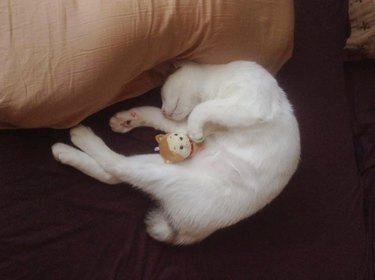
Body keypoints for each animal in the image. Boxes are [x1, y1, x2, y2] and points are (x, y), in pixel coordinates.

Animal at [51, 60, 302, 244]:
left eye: (162, 95)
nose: (164, 108)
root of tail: (191, 233)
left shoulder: (247, 105)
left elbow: (203, 110)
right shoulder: (186, 126)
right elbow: (160, 117)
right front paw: (128, 119)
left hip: (162, 172)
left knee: (116, 168)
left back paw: (76, 140)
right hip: (159, 166)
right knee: (113, 174)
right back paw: (68, 150)